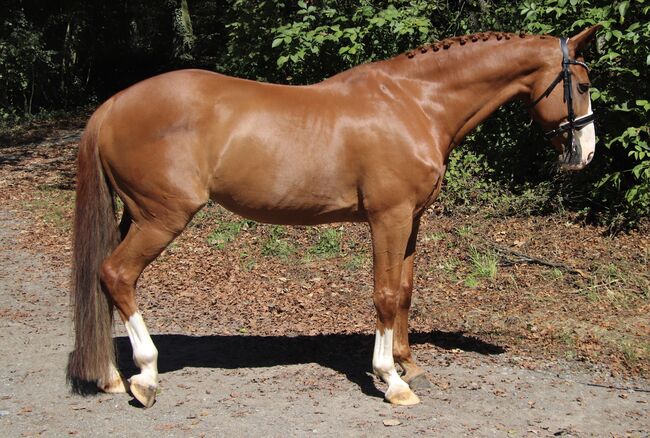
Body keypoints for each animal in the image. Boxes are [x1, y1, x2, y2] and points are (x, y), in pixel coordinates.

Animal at [66, 25, 596, 406]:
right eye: (583, 84)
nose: (586, 153)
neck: (414, 102)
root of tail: (112, 105)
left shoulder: (411, 220)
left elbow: (405, 291)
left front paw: (407, 364)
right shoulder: (388, 218)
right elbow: (384, 295)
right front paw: (391, 381)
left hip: (135, 216)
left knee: (104, 281)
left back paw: (112, 376)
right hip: (161, 218)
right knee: (117, 275)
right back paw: (146, 376)